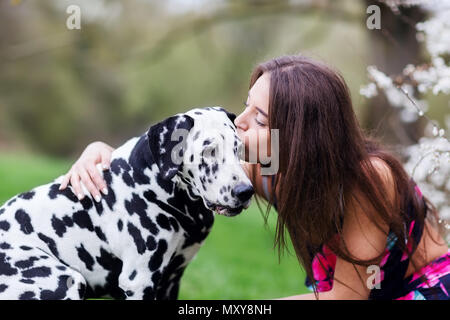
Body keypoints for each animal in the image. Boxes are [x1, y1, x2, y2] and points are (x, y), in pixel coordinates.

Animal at [0, 107, 253, 300]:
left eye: (238, 148)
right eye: (208, 151)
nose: (245, 191)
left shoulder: (171, 281)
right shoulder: (139, 282)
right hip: (65, 280)